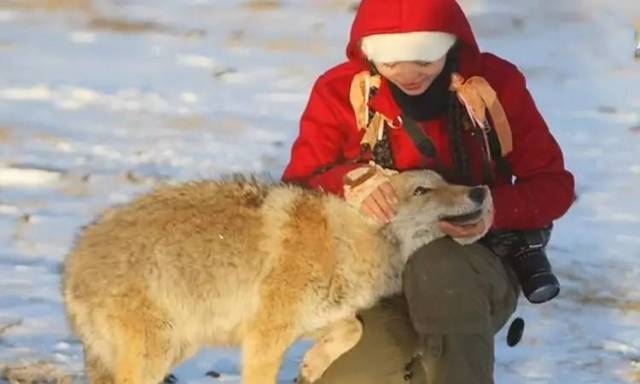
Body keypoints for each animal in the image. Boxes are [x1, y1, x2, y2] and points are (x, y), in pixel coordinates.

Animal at [62, 170, 492, 384]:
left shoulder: (318, 319)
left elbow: (353, 329)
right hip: (155, 355)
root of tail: (72, 263)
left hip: (175, 348)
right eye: (422, 190)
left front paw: (312, 366)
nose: (480, 190)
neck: (346, 241)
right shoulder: (264, 338)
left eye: (448, 178)